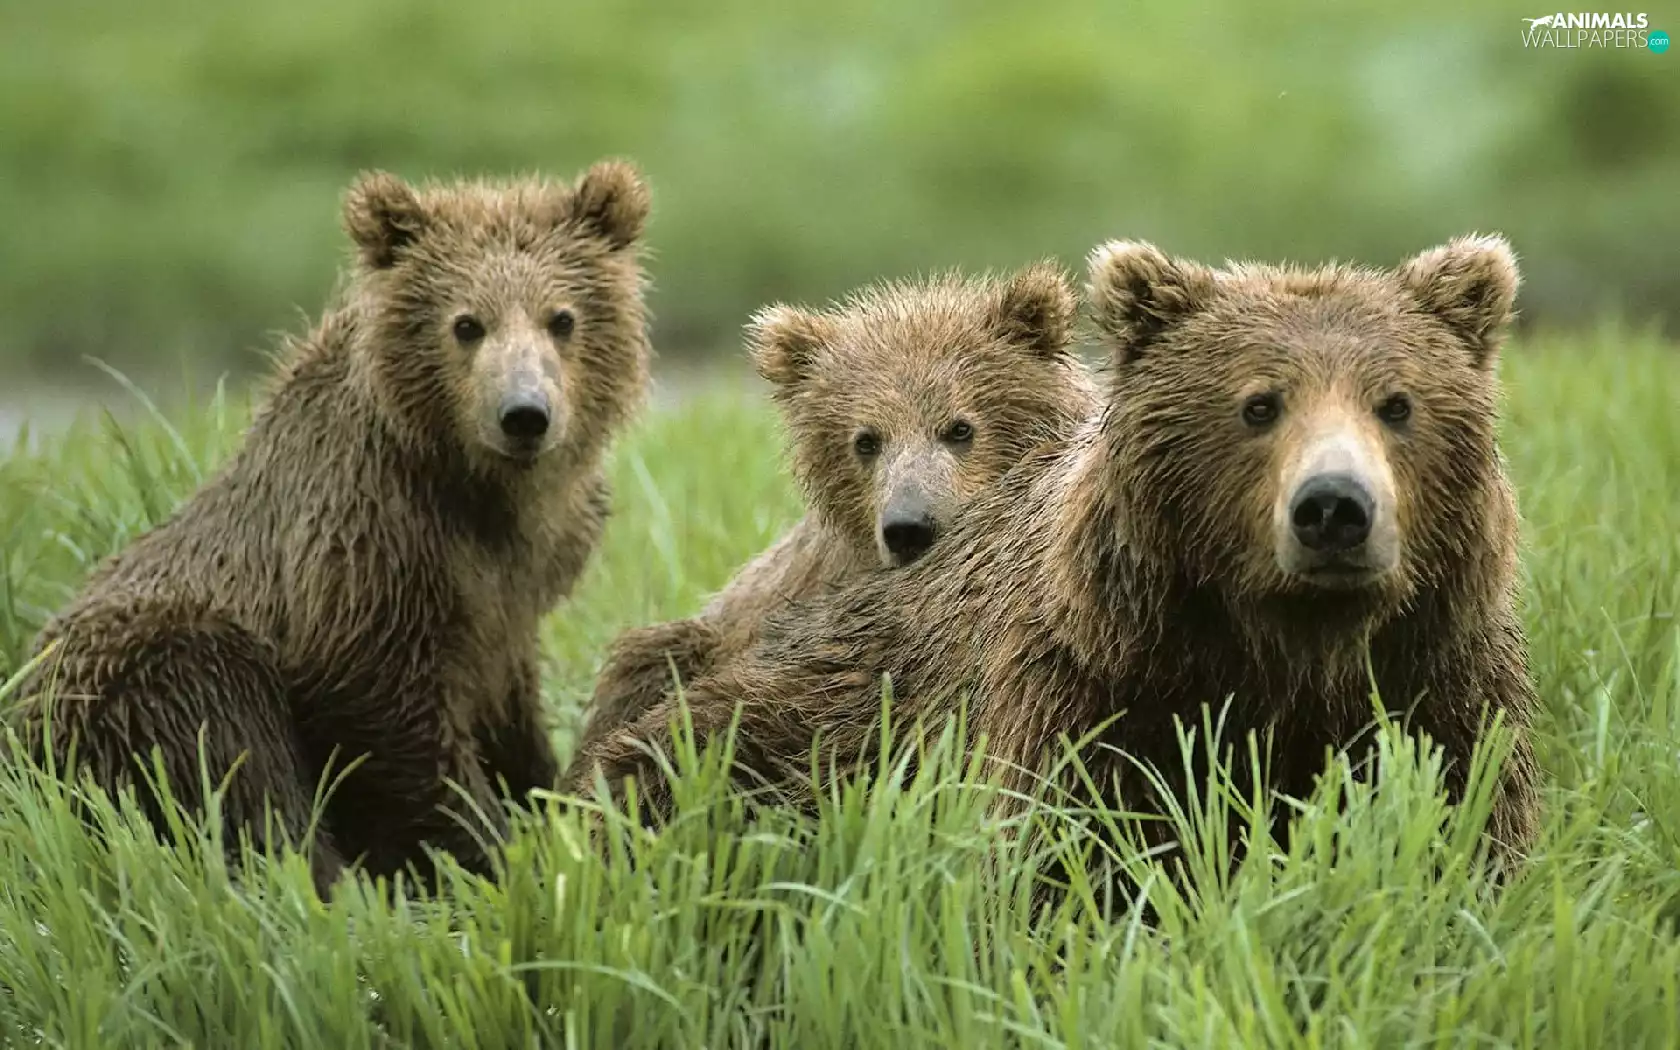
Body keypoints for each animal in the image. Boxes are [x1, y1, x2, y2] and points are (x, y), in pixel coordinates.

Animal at [13, 160, 653, 896]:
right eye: (467, 323)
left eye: (562, 318)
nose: (524, 414)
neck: (481, 494)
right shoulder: (367, 546)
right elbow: (385, 718)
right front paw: (495, 852)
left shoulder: (514, 589)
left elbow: (509, 707)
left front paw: (546, 796)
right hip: (142, 673)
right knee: (230, 755)